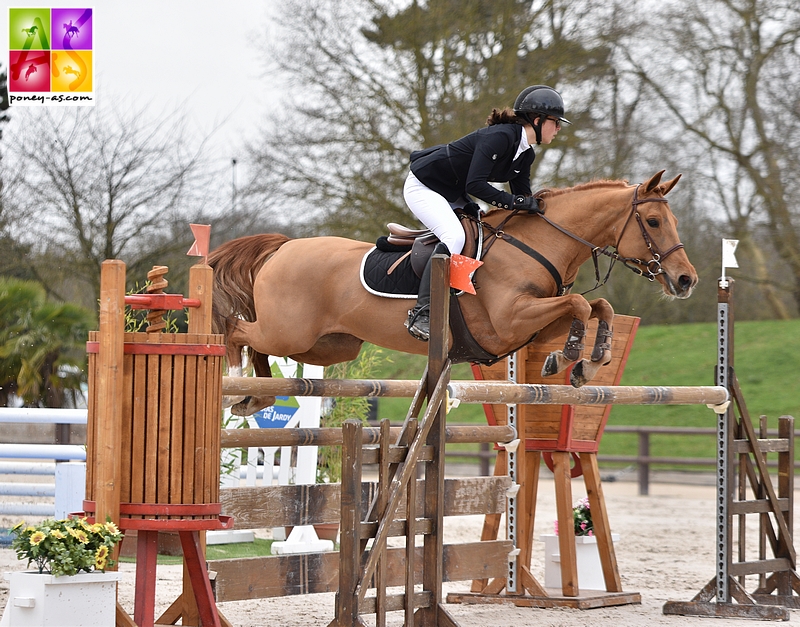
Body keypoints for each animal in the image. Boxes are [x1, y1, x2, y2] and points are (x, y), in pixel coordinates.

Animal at [209, 172, 696, 418]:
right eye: (654, 221)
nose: (686, 280)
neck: (536, 244)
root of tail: (283, 246)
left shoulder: (527, 327)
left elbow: (599, 306)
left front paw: (585, 362)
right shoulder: (508, 321)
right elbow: (579, 304)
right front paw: (572, 356)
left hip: (329, 346)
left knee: (258, 343)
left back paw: (256, 395)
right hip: (289, 332)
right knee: (236, 330)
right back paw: (236, 388)